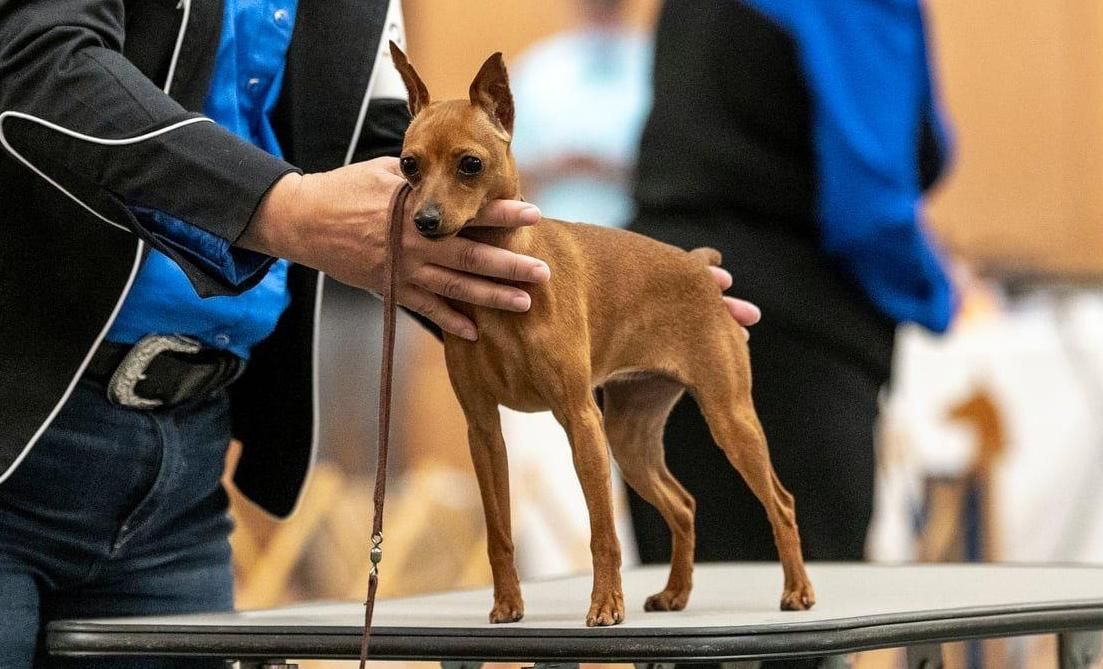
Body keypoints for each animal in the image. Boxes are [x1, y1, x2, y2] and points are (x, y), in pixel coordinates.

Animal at [392, 43, 816, 626]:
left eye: (470, 164)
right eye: (408, 164)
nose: (425, 221)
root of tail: (700, 266)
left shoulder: (580, 420)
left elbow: (603, 532)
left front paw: (606, 605)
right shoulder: (484, 432)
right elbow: (500, 531)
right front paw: (508, 604)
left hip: (728, 420)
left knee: (781, 502)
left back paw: (796, 590)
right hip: (630, 434)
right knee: (683, 505)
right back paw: (675, 593)